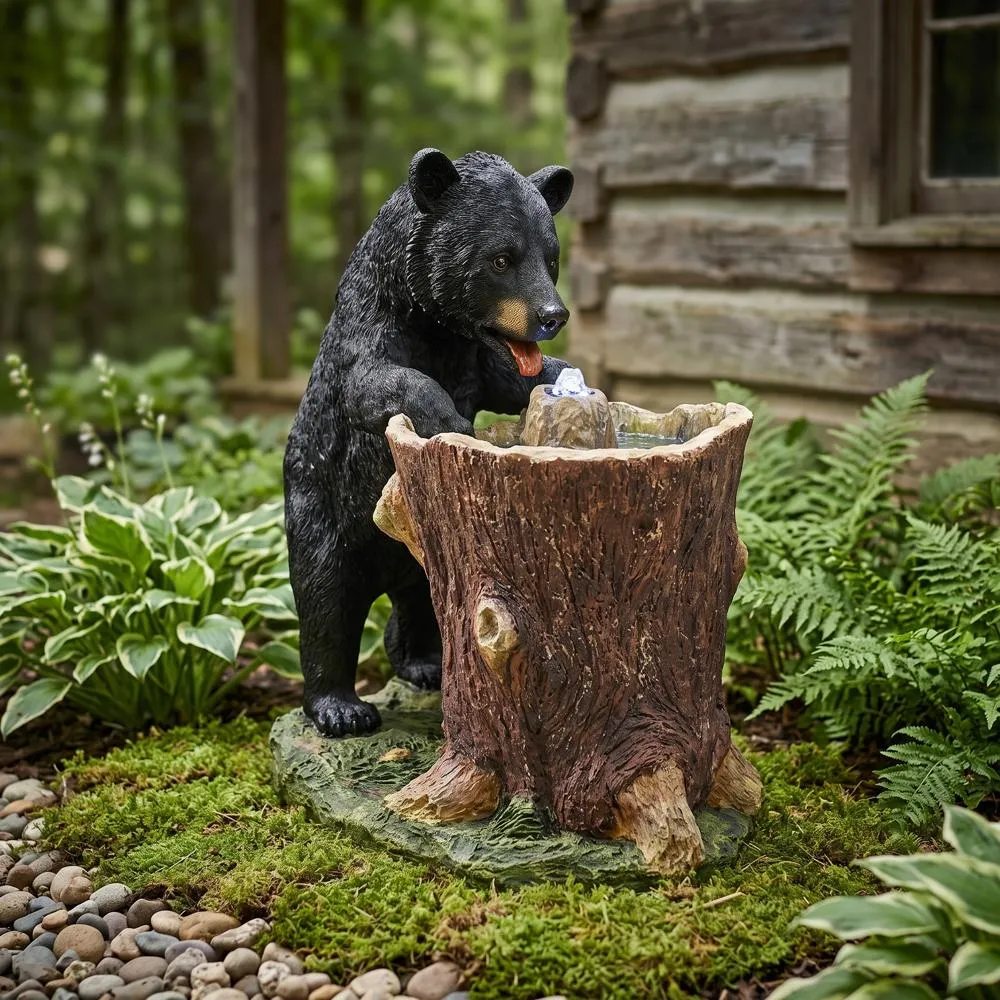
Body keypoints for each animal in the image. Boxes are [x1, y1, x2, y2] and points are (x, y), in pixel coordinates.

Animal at [284, 148, 574, 738]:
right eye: (501, 259)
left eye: (551, 258)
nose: (552, 316)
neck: (435, 324)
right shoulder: (371, 323)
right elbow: (372, 380)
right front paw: (449, 420)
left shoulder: (476, 357)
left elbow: (515, 381)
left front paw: (570, 381)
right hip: (320, 510)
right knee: (327, 600)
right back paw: (341, 707)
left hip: (422, 546)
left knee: (422, 597)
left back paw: (424, 662)